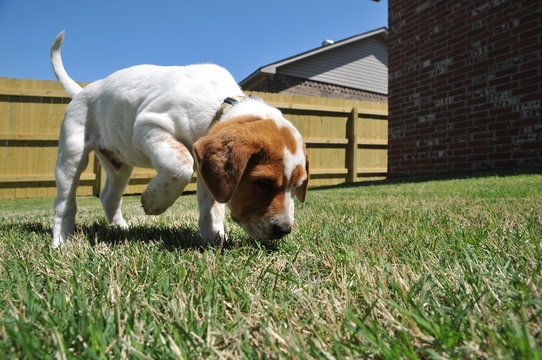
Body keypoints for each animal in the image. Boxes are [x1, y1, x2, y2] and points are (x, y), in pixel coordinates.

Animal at [50, 31, 310, 248]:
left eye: (297, 186)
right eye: (263, 182)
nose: (284, 230)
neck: (217, 106)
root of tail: (82, 91)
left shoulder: (209, 169)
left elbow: (211, 207)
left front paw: (215, 238)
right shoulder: (150, 126)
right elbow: (181, 165)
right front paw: (153, 202)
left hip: (119, 166)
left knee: (108, 197)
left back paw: (121, 229)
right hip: (72, 155)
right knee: (65, 202)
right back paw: (61, 241)